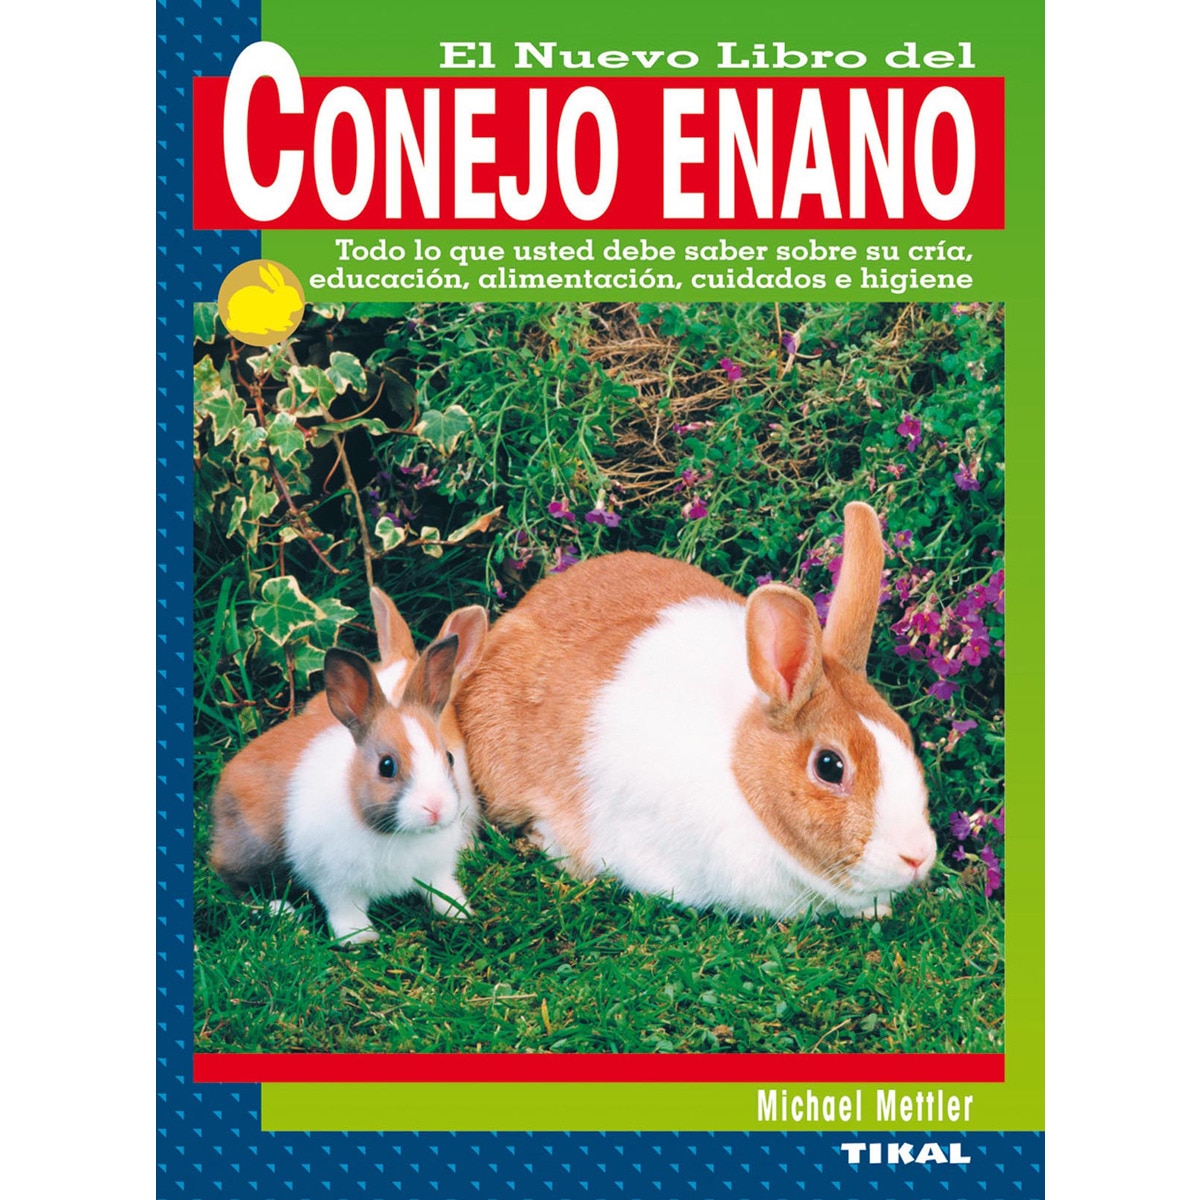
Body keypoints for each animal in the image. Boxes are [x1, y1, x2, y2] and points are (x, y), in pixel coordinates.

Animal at [209, 635, 476, 944]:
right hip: (254, 851)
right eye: (387, 766)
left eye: (449, 758)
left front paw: (460, 912)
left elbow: (442, 890)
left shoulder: (436, 870)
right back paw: (281, 910)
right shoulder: (335, 882)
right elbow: (345, 909)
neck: (398, 834)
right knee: (233, 881)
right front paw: (360, 938)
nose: (435, 808)